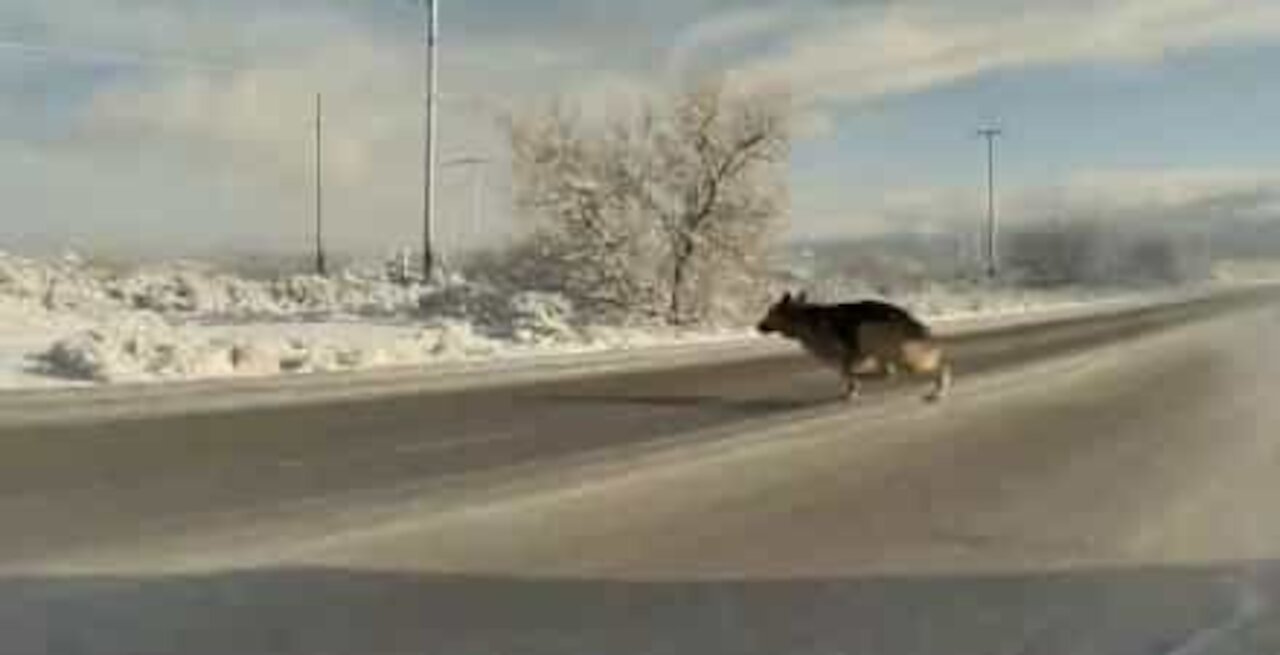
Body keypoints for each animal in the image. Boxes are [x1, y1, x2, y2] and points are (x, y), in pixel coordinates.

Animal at [757, 292, 952, 404]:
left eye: (769, 312)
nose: (757, 326)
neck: (800, 318)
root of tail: (906, 318)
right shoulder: (848, 358)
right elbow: (846, 374)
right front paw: (852, 389)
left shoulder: (844, 356)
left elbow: (846, 373)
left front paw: (851, 391)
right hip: (882, 350)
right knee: (889, 372)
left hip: (871, 335)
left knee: (934, 367)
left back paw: (938, 391)